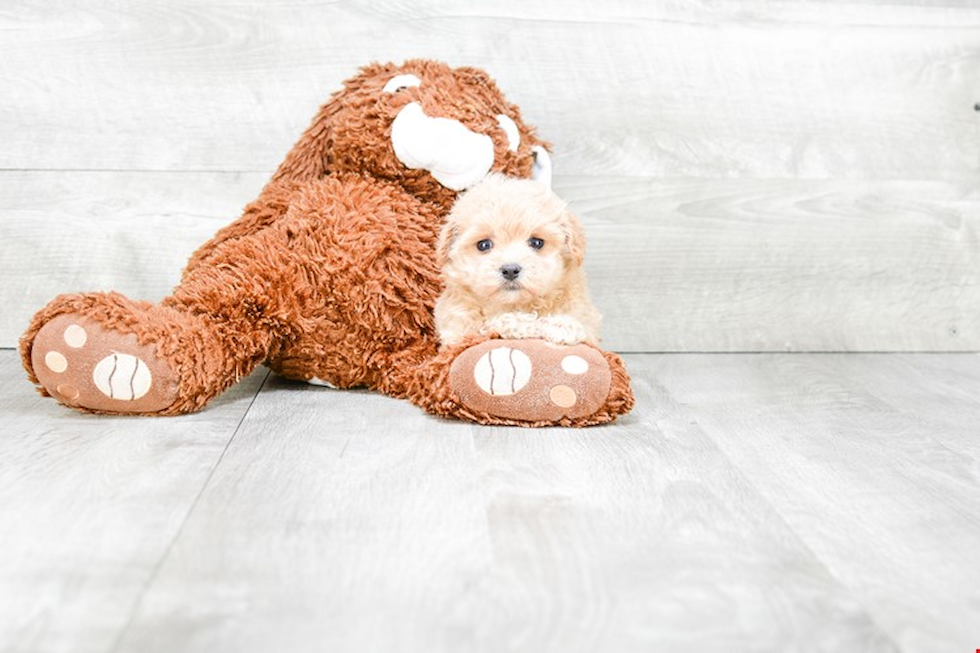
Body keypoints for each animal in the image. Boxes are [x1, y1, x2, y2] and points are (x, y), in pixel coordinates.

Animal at [434, 172, 596, 346]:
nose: (510, 270)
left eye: (537, 242)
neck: (514, 304)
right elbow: (492, 323)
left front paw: (563, 326)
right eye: (484, 245)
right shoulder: (458, 334)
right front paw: (524, 324)